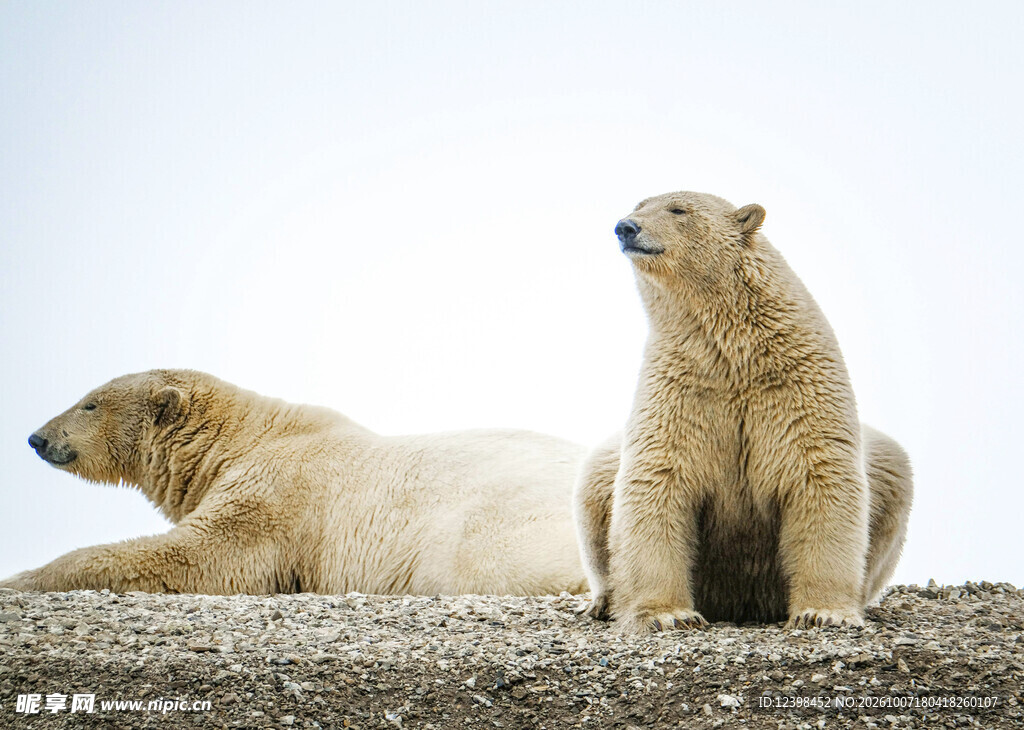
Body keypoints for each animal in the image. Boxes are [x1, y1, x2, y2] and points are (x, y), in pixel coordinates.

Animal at [2, 369, 589, 596]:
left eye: (89, 403)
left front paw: (19, 578)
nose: (35, 437)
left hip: (485, 529)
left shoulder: (274, 497)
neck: (242, 438)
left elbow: (200, 557)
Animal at [574, 191, 913, 634]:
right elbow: (657, 479)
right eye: (639, 205)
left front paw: (823, 612)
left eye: (678, 209)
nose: (625, 227)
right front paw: (669, 614)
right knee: (596, 480)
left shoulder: (797, 388)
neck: (736, 355)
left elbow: (820, 478)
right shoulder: (681, 390)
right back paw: (601, 601)